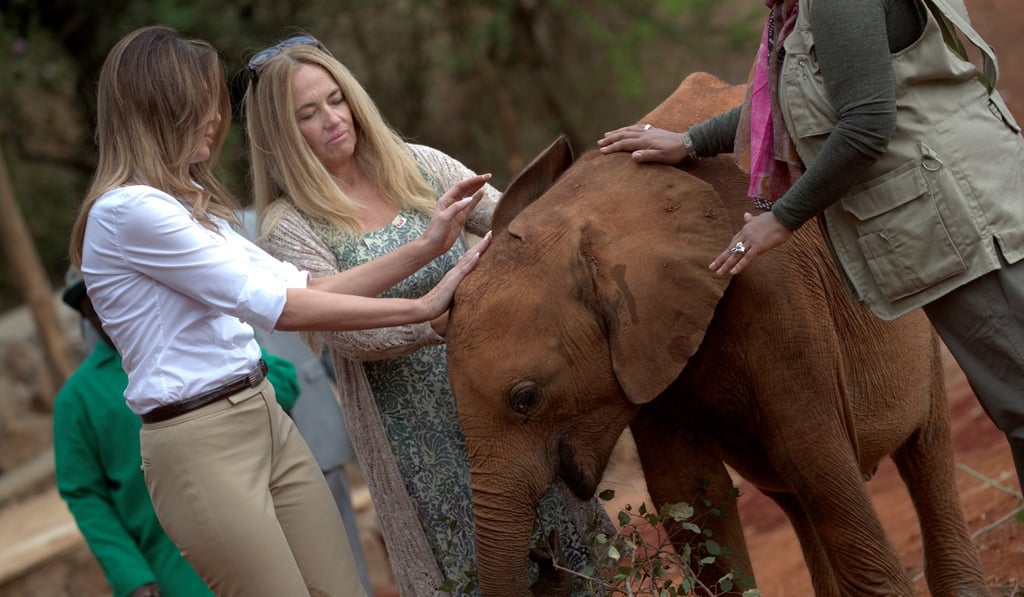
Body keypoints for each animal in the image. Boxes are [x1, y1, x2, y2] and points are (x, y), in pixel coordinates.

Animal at [445, 72, 989, 596]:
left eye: (526, 399)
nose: (546, 554)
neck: (587, 208)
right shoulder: (645, 348)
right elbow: (690, 492)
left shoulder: (773, 284)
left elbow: (813, 458)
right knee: (790, 494)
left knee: (922, 446)